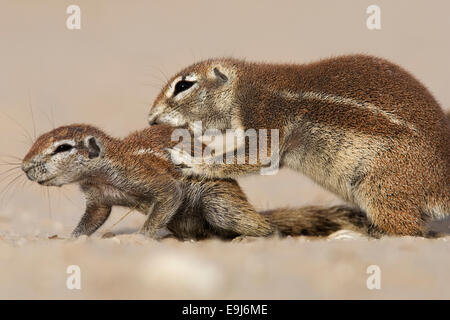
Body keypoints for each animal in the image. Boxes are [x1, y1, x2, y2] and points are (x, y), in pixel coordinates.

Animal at [20, 124, 370, 239]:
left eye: (63, 148)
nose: (24, 168)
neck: (100, 173)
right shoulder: (97, 200)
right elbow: (93, 220)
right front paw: (69, 238)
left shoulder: (147, 176)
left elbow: (168, 194)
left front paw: (141, 237)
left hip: (218, 202)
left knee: (269, 229)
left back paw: (251, 237)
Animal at [149, 53, 450, 236]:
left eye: (184, 85)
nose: (151, 118)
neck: (243, 86)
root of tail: (440, 183)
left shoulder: (263, 113)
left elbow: (256, 155)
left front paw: (191, 161)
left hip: (381, 187)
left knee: (411, 230)